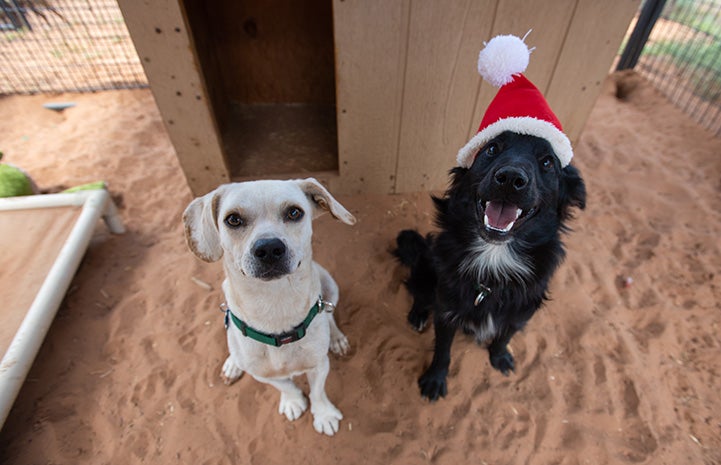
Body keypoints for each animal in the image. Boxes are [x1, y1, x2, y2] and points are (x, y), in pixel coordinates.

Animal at [184, 178, 356, 436]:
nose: (268, 248)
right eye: (233, 219)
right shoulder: (263, 375)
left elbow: (318, 392)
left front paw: (324, 415)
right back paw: (232, 364)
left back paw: (336, 339)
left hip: (330, 285)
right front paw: (293, 402)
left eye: (294, 212)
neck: (274, 305)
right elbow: (286, 386)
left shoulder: (319, 365)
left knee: (329, 313)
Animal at [394, 130, 584, 398]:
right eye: (492, 148)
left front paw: (499, 356)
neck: (494, 260)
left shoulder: (520, 312)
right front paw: (435, 379)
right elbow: (442, 350)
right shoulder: (447, 311)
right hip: (427, 267)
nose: (510, 178)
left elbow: (505, 336)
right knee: (419, 291)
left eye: (547, 162)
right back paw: (418, 314)